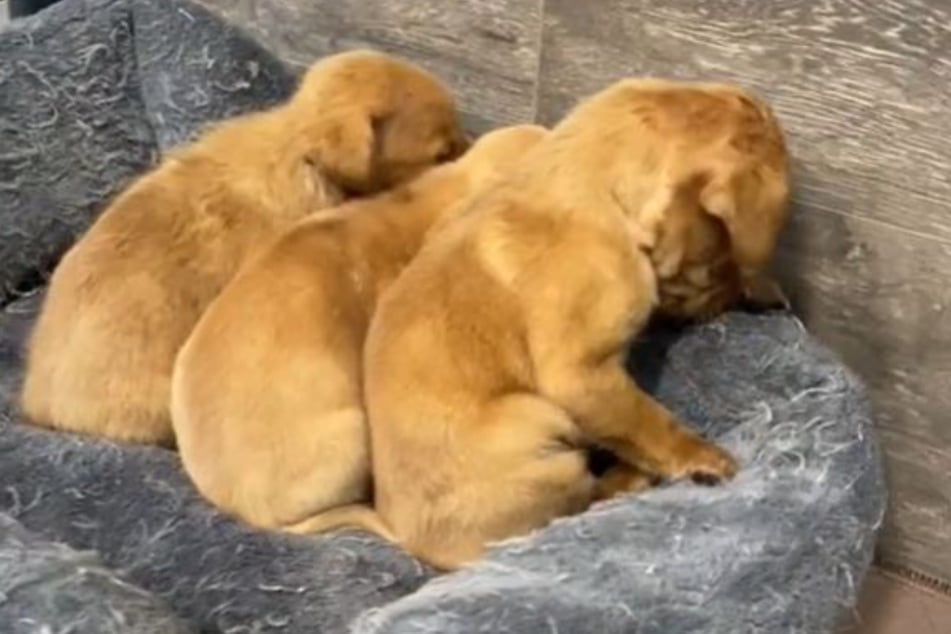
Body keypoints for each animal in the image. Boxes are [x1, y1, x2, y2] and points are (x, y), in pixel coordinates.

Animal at [350, 78, 788, 568]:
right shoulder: (582, 376)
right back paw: (628, 479)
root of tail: (406, 539)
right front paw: (700, 457)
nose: (736, 297)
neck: (597, 188)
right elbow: (648, 422)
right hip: (540, 424)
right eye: (718, 255)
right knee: (577, 505)